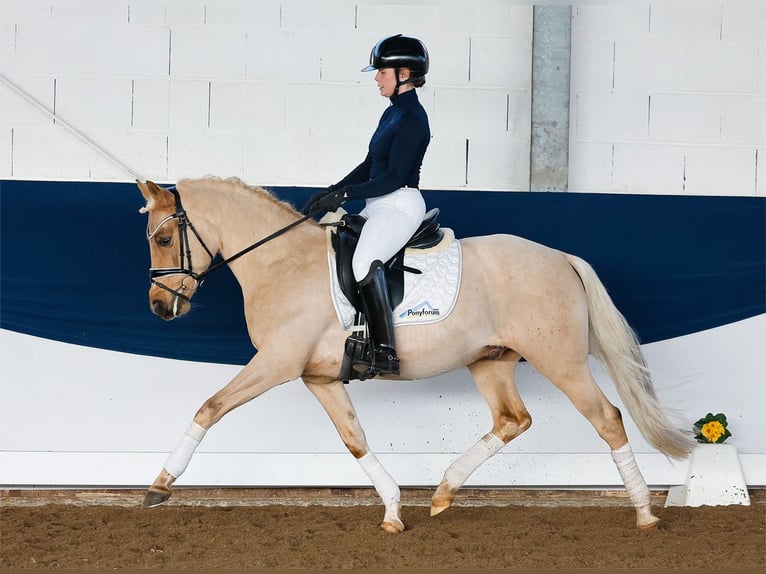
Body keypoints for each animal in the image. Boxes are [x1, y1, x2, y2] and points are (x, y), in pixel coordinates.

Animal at [136, 178, 696, 532]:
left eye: (163, 239)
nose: (161, 308)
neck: (281, 262)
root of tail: (560, 257)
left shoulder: (275, 364)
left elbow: (209, 407)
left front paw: (159, 486)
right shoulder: (319, 378)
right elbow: (355, 441)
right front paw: (391, 511)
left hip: (561, 361)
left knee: (607, 418)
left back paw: (645, 513)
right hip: (490, 360)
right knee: (513, 419)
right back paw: (444, 492)